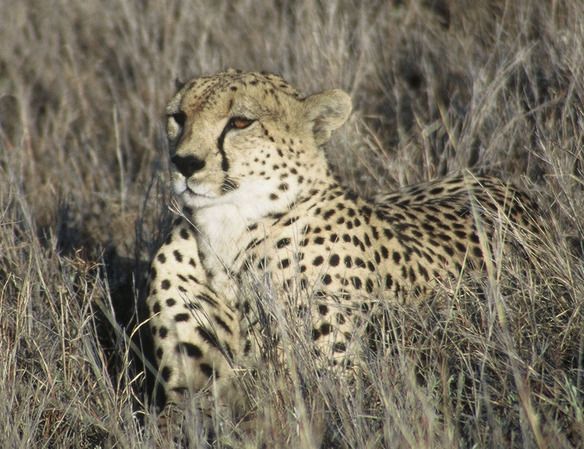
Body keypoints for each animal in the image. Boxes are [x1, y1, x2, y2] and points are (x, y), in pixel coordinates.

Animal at [145, 69, 540, 416]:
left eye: (241, 122)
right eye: (178, 117)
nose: (184, 162)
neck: (227, 232)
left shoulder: (335, 382)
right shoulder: (185, 395)